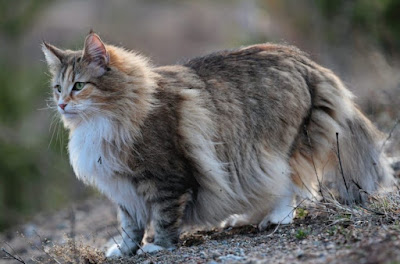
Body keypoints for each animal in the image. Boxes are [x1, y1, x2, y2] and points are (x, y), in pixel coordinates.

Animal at [41, 32, 394, 256]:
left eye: (79, 86)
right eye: (58, 87)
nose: (61, 104)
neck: (104, 121)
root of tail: (304, 61)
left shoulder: (166, 178)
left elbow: (164, 218)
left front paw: (158, 246)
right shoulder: (123, 188)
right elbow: (130, 225)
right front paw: (125, 250)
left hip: (273, 151)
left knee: (290, 186)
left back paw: (274, 218)